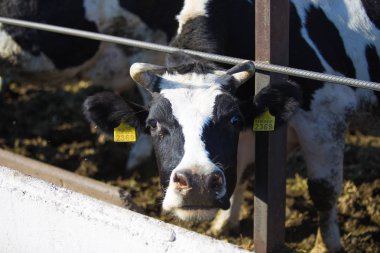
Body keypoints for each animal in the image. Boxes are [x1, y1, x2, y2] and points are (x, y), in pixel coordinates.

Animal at [83, 0, 380, 253]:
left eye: (233, 120)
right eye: (153, 124)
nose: (198, 183)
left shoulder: (327, 112)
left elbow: (323, 190)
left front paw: (326, 246)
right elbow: (242, 170)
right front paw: (224, 223)